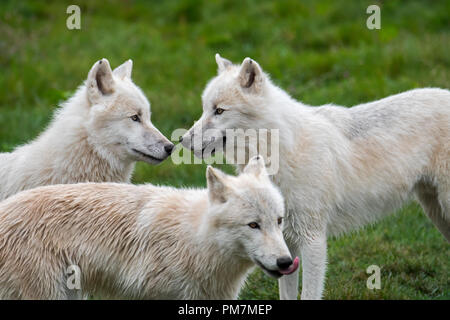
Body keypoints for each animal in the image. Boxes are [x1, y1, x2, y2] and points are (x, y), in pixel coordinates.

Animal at [180, 54, 450, 300]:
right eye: (205, 109)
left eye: (219, 111)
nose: (181, 140)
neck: (282, 150)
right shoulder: (286, 243)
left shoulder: (313, 240)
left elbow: (309, 293)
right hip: (436, 212)